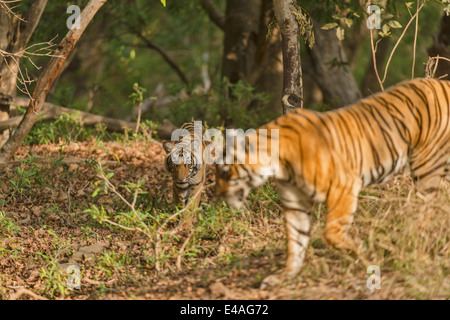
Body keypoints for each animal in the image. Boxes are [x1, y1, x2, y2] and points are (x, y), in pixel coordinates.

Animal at [215, 78, 450, 288]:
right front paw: (284, 276)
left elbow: (330, 234)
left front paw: (363, 251)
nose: (218, 194)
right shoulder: (295, 204)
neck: (280, 166)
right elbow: (295, 243)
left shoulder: (343, 187)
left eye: (225, 172)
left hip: (426, 167)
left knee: (428, 210)